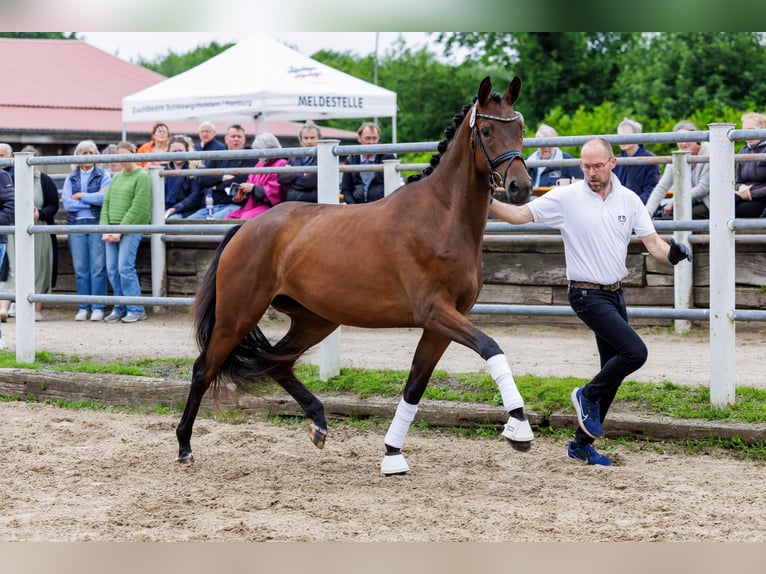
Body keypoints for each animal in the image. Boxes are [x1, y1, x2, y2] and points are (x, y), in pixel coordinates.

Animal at [176, 76, 536, 476]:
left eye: (520, 128)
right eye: (486, 130)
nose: (520, 187)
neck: (441, 218)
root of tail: (248, 226)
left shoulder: (442, 324)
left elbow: (415, 386)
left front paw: (392, 454)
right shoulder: (434, 312)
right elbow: (490, 347)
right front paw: (518, 428)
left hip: (314, 320)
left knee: (277, 363)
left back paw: (318, 422)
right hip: (237, 314)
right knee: (204, 368)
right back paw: (185, 447)